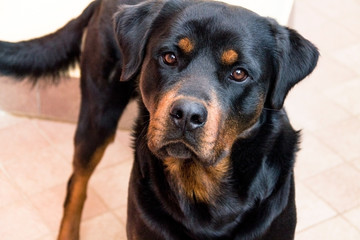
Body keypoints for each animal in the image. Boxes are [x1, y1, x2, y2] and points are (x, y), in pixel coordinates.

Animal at [0, 0, 318, 239]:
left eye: (239, 73)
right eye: (169, 57)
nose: (187, 114)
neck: (200, 185)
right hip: (97, 114)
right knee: (76, 183)